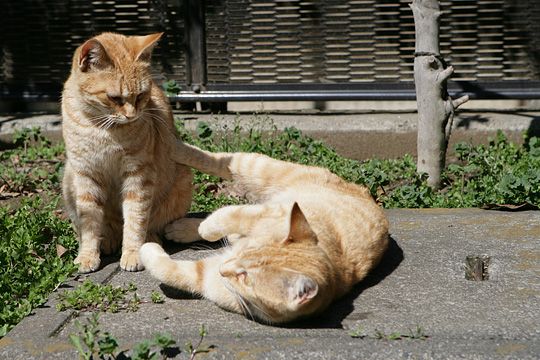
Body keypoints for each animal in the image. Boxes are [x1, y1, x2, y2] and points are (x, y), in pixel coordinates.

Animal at [62, 32, 193, 272]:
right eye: (114, 98)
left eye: (141, 95)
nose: (132, 115)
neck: (102, 129)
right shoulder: (86, 175)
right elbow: (89, 223)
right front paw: (87, 256)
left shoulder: (138, 175)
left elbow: (135, 219)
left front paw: (133, 253)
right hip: (68, 182)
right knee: (102, 228)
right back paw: (107, 240)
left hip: (182, 182)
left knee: (150, 225)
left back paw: (149, 239)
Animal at [141, 145, 390, 324]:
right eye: (246, 251)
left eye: (244, 277)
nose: (224, 269)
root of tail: (363, 190)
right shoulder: (271, 211)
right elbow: (229, 215)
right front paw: (208, 228)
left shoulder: (206, 277)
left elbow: (167, 270)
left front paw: (147, 249)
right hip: (262, 169)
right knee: (222, 161)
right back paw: (175, 146)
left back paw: (180, 228)